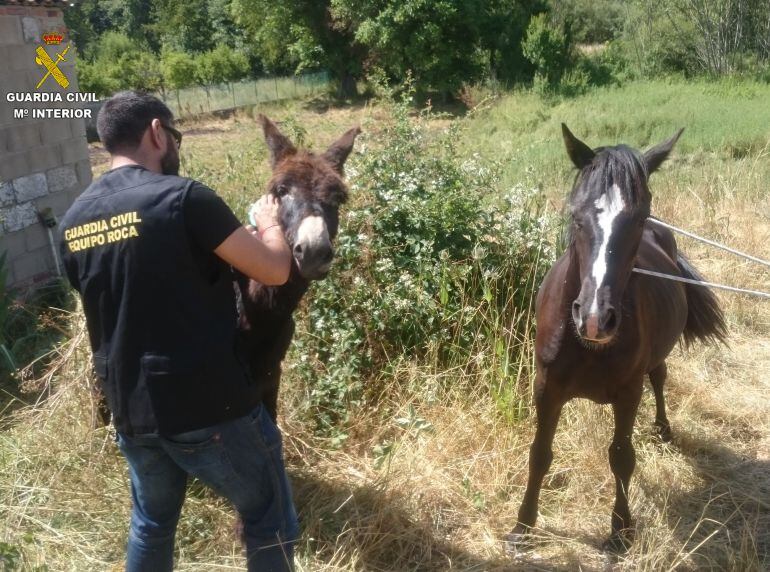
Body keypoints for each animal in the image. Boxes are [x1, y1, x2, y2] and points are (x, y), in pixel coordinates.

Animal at [508, 126, 724, 556]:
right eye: (576, 216)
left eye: (639, 220)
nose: (595, 318)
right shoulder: (546, 388)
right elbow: (539, 454)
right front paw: (523, 526)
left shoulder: (628, 392)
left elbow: (622, 457)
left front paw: (621, 530)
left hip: (653, 363)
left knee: (660, 378)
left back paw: (662, 429)